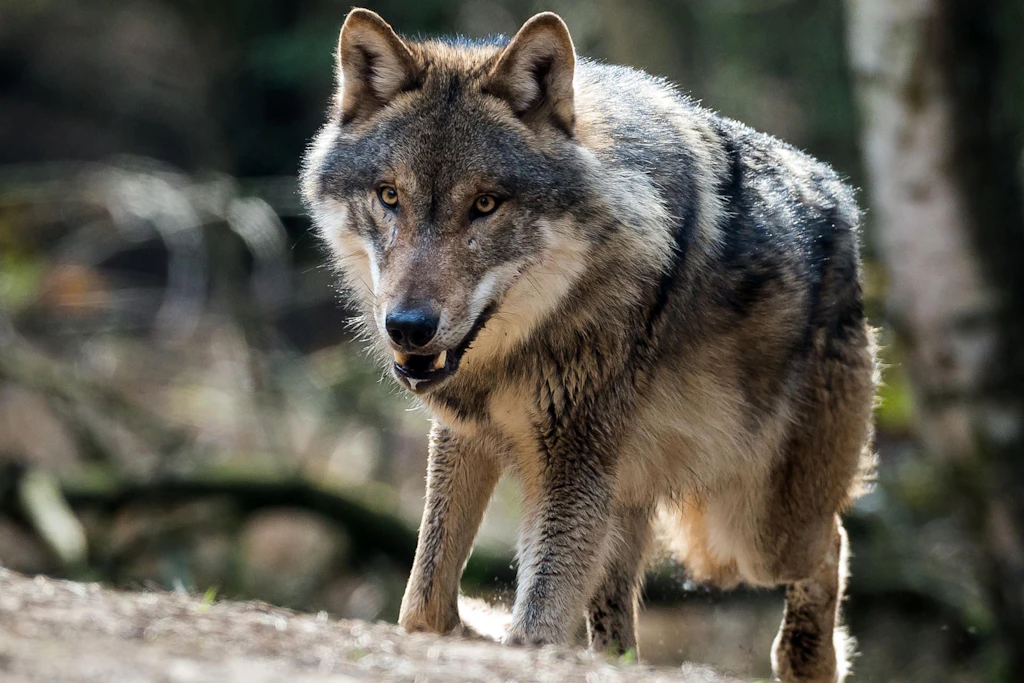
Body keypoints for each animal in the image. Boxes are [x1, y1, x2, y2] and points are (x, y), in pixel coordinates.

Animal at [301, 9, 876, 682]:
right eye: (390, 196)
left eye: (485, 204)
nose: (409, 326)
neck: (517, 351)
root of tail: (843, 201)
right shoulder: (467, 437)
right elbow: (424, 607)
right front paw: (473, 625)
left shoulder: (571, 462)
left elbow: (534, 627)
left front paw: (509, 635)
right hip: (629, 501)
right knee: (617, 625)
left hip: (749, 532)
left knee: (831, 543)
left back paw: (807, 660)